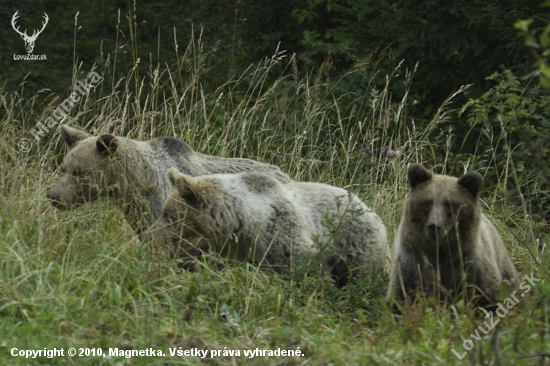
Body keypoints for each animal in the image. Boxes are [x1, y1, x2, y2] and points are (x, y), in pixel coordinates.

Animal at [386, 164, 520, 308]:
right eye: (427, 202)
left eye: (450, 204)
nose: (434, 226)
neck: (441, 254)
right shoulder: (413, 264)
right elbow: (401, 295)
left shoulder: (471, 268)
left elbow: (488, 296)